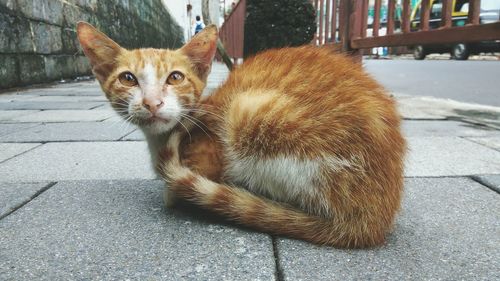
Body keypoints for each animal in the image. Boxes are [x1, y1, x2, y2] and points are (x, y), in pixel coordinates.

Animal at [78, 21, 406, 246]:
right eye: (128, 79)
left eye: (175, 77)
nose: (152, 102)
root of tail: (373, 219)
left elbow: (176, 191)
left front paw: (174, 194)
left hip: (250, 112)